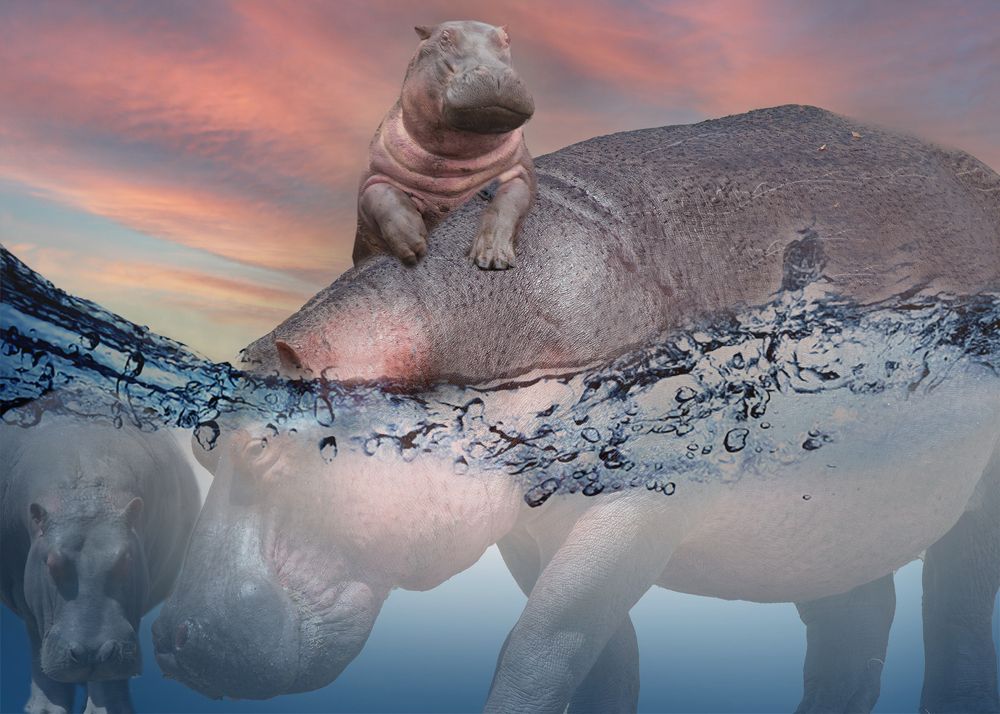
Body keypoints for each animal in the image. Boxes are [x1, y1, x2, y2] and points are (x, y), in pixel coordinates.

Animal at [1, 419, 200, 714]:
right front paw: (44, 710)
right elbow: (38, 645)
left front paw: (108, 710)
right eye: (51, 563)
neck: (85, 497)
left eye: (126, 559)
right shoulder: (26, 597)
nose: (92, 654)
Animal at [155, 106, 1000, 712]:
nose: (164, 634)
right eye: (202, 445)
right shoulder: (526, 527)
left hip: (970, 504)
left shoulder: (643, 504)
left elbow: (542, 640)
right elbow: (602, 654)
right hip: (829, 524)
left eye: (262, 448)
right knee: (853, 627)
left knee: (955, 617)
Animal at [354, 20, 535, 270]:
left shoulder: (520, 172)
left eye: (507, 40)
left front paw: (492, 258)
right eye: (444, 39)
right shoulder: (373, 177)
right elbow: (382, 195)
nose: (495, 74)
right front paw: (413, 246)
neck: (455, 154)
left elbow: (506, 204)